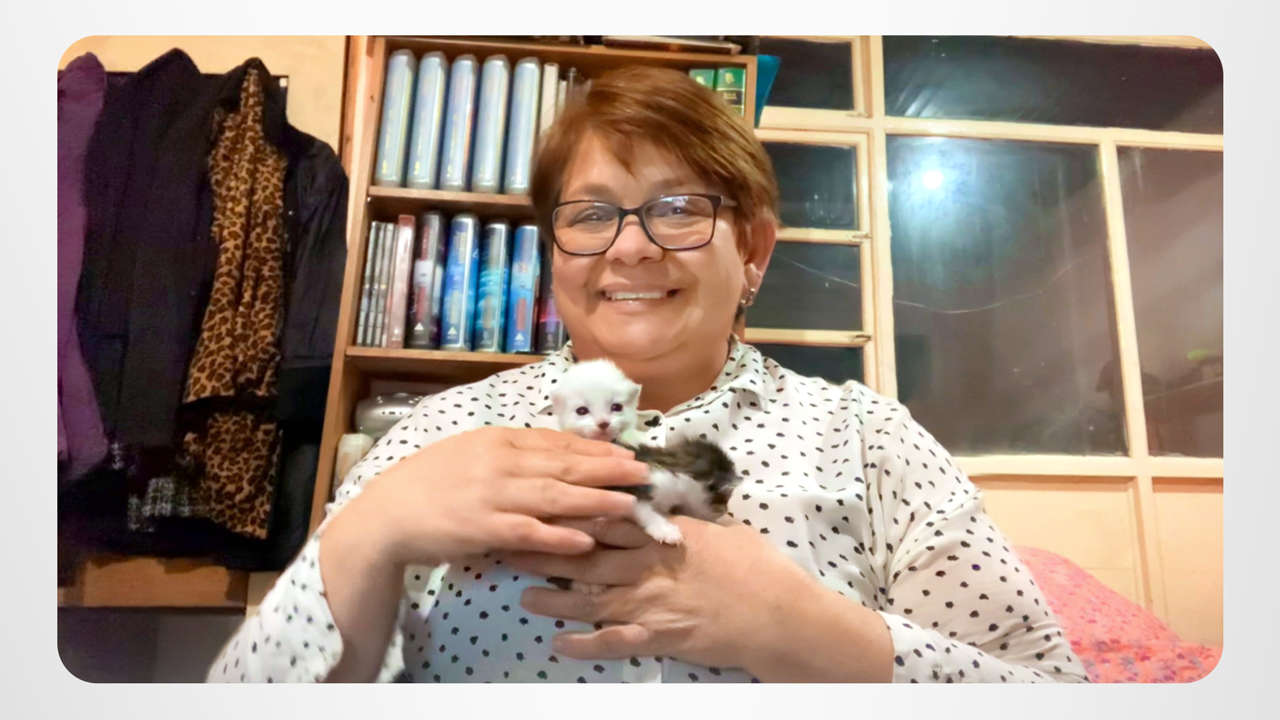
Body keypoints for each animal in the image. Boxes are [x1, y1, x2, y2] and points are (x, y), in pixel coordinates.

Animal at [550, 359, 740, 547]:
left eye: (616, 407)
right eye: (725, 500)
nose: (724, 511)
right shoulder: (631, 485)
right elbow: (641, 509)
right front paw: (665, 530)